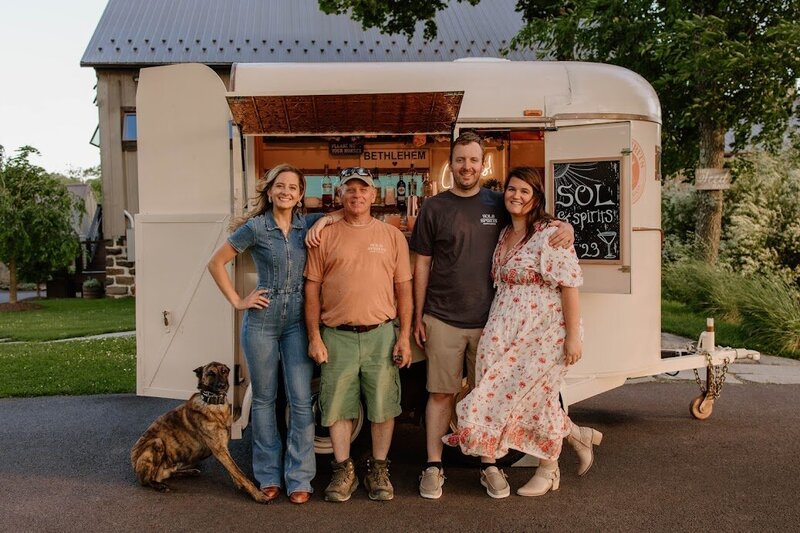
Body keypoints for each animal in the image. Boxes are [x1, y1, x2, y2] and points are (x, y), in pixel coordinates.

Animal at [130, 360, 268, 500]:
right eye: (210, 373)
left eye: (224, 371)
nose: (222, 385)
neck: (213, 403)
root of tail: (133, 463)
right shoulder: (219, 449)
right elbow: (239, 472)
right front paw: (258, 494)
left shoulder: (223, 449)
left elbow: (233, 470)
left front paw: (240, 484)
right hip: (156, 443)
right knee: (147, 480)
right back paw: (159, 485)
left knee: (171, 473)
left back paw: (190, 472)